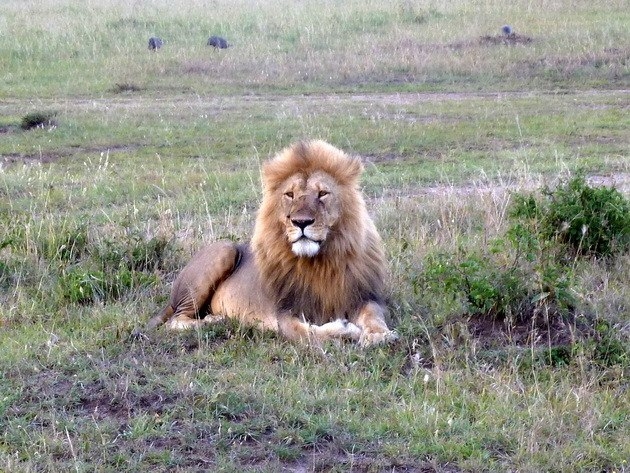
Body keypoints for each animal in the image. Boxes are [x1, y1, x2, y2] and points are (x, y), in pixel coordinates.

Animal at [148, 140, 398, 346]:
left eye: (323, 193)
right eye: (290, 194)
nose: (301, 222)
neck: (319, 263)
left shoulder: (361, 296)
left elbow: (374, 315)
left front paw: (379, 335)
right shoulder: (284, 313)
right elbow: (307, 333)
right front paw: (345, 330)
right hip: (223, 250)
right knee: (176, 320)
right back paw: (217, 321)